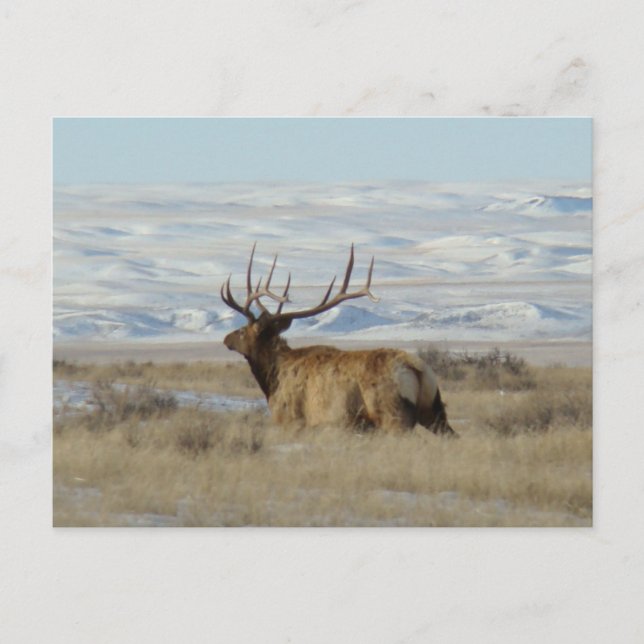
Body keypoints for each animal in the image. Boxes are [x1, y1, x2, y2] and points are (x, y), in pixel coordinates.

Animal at [221, 244, 456, 436]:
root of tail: (417, 369)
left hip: (393, 414)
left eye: (242, 331)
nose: (226, 339)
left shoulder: (291, 419)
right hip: (434, 410)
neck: (272, 380)